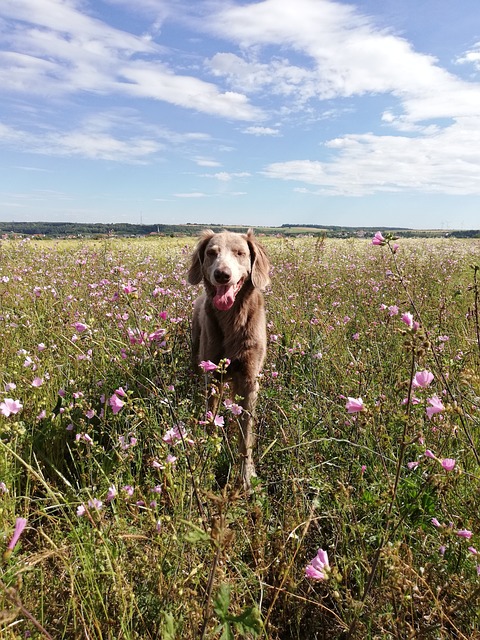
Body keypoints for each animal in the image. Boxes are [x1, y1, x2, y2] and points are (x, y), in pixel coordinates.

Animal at [188, 230, 270, 490]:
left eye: (240, 253)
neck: (232, 318)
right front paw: (206, 460)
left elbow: (246, 435)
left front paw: (246, 476)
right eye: (211, 253)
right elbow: (211, 422)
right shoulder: (212, 374)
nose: (222, 275)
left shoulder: (249, 379)